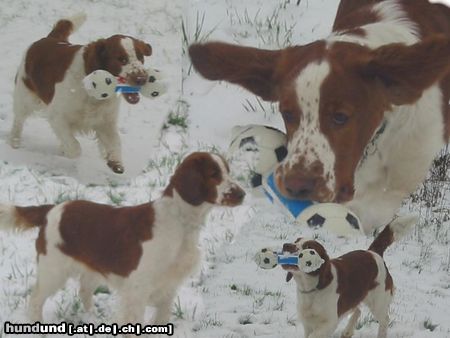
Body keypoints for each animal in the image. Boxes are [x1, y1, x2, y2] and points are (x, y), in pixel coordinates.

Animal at [0, 152, 246, 324]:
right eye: (214, 174)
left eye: (227, 171)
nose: (243, 194)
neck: (180, 221)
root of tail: (51, 208)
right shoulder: (137, 291)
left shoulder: (167, 290)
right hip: (53, 270)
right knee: (35, 300)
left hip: (90, 269)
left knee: (84, 291)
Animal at [10, 12, 153, 174]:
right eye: (121, 59)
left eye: (141, 57)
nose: (142, 79)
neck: (95, 90)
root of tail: (49, 39)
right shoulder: (57, 116)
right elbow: (75, 147)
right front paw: (68, 151)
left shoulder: (105, 121)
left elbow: (115, 142)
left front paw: (115, 162)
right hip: (24, 97)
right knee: (19, 119)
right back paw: (14, 141)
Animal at [284, 215, 416, 336]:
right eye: (296, 241)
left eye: (308, 248)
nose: (286, 245)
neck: (312, 287)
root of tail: (373, 253)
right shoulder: (308, 323)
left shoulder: (329, 323)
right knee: (358, 310)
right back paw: (347, 332)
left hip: (378, 302)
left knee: (384, 320)